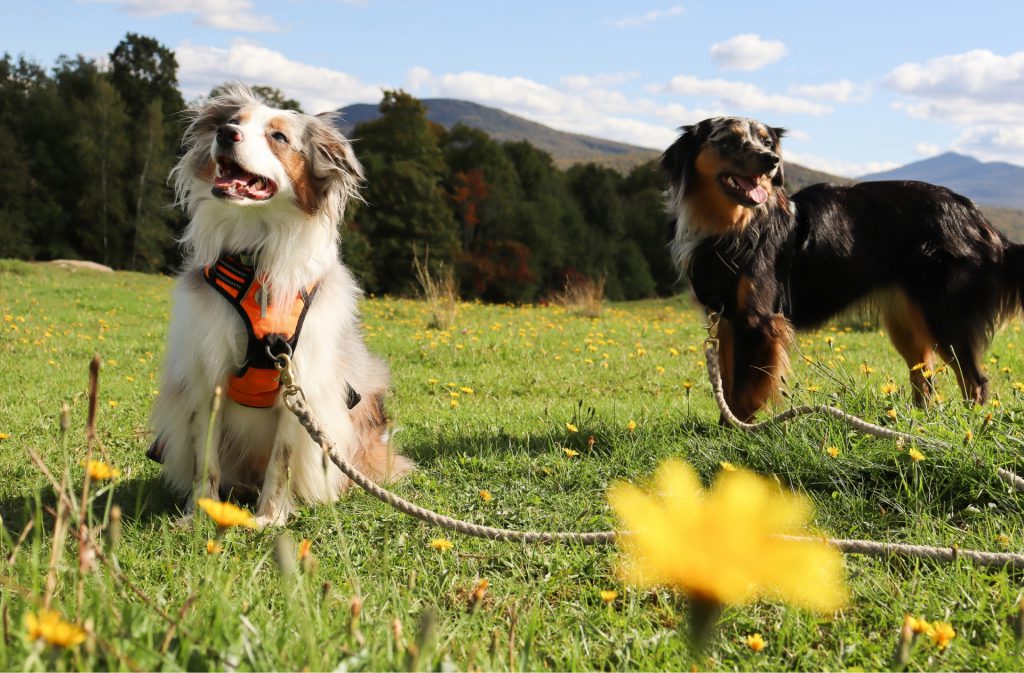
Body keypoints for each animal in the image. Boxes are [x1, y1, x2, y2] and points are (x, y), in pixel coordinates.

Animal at [149, 85, 411, 524]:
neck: (256, 260)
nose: (225, 133)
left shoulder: (299, 379)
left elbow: (282, 460)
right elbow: (206, 456)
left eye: (278, 137)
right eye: (232, 121)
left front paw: (268, 518)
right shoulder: (206, 372)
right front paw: (202, 514)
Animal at [659, 115, 1019, 419]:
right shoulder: (727, 320)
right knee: (925, 378)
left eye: (767, 141)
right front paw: (726, 430)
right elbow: (729, 384)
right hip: (905, 319)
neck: (733, 227)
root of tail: (977, 218)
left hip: (943, 313)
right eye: (730, 140)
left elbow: (744, 394)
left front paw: (737, 437)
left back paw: (970, 425)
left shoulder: (759, 320)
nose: (771, 160)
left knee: (975, 380)